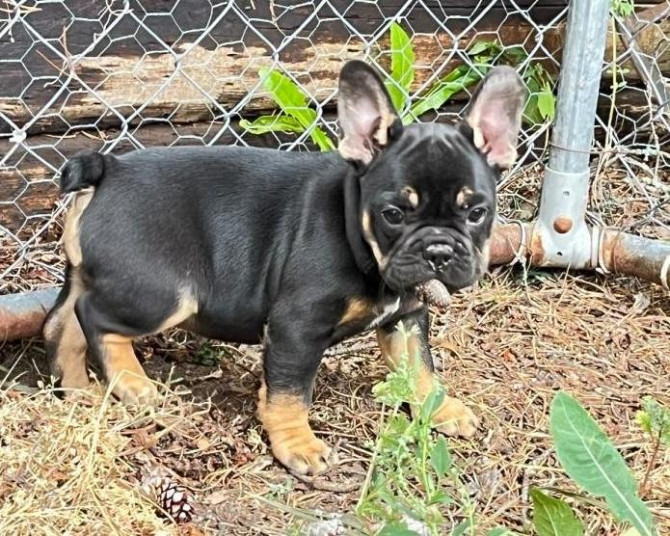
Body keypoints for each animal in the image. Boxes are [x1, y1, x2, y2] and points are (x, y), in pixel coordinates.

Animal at [46, 60, 532, 476]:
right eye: (393, 214)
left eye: (477, 213)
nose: (439, 250)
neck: (360, 239)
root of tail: (110, 169)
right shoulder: (296, 327)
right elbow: (291, 391)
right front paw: (297, 444)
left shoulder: (406, 318)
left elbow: (421, 367)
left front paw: (439, 408)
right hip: (162, 291)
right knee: (96, 320)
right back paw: (132, 383)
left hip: (96, 277)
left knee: (62, 322)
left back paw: (79, 390)